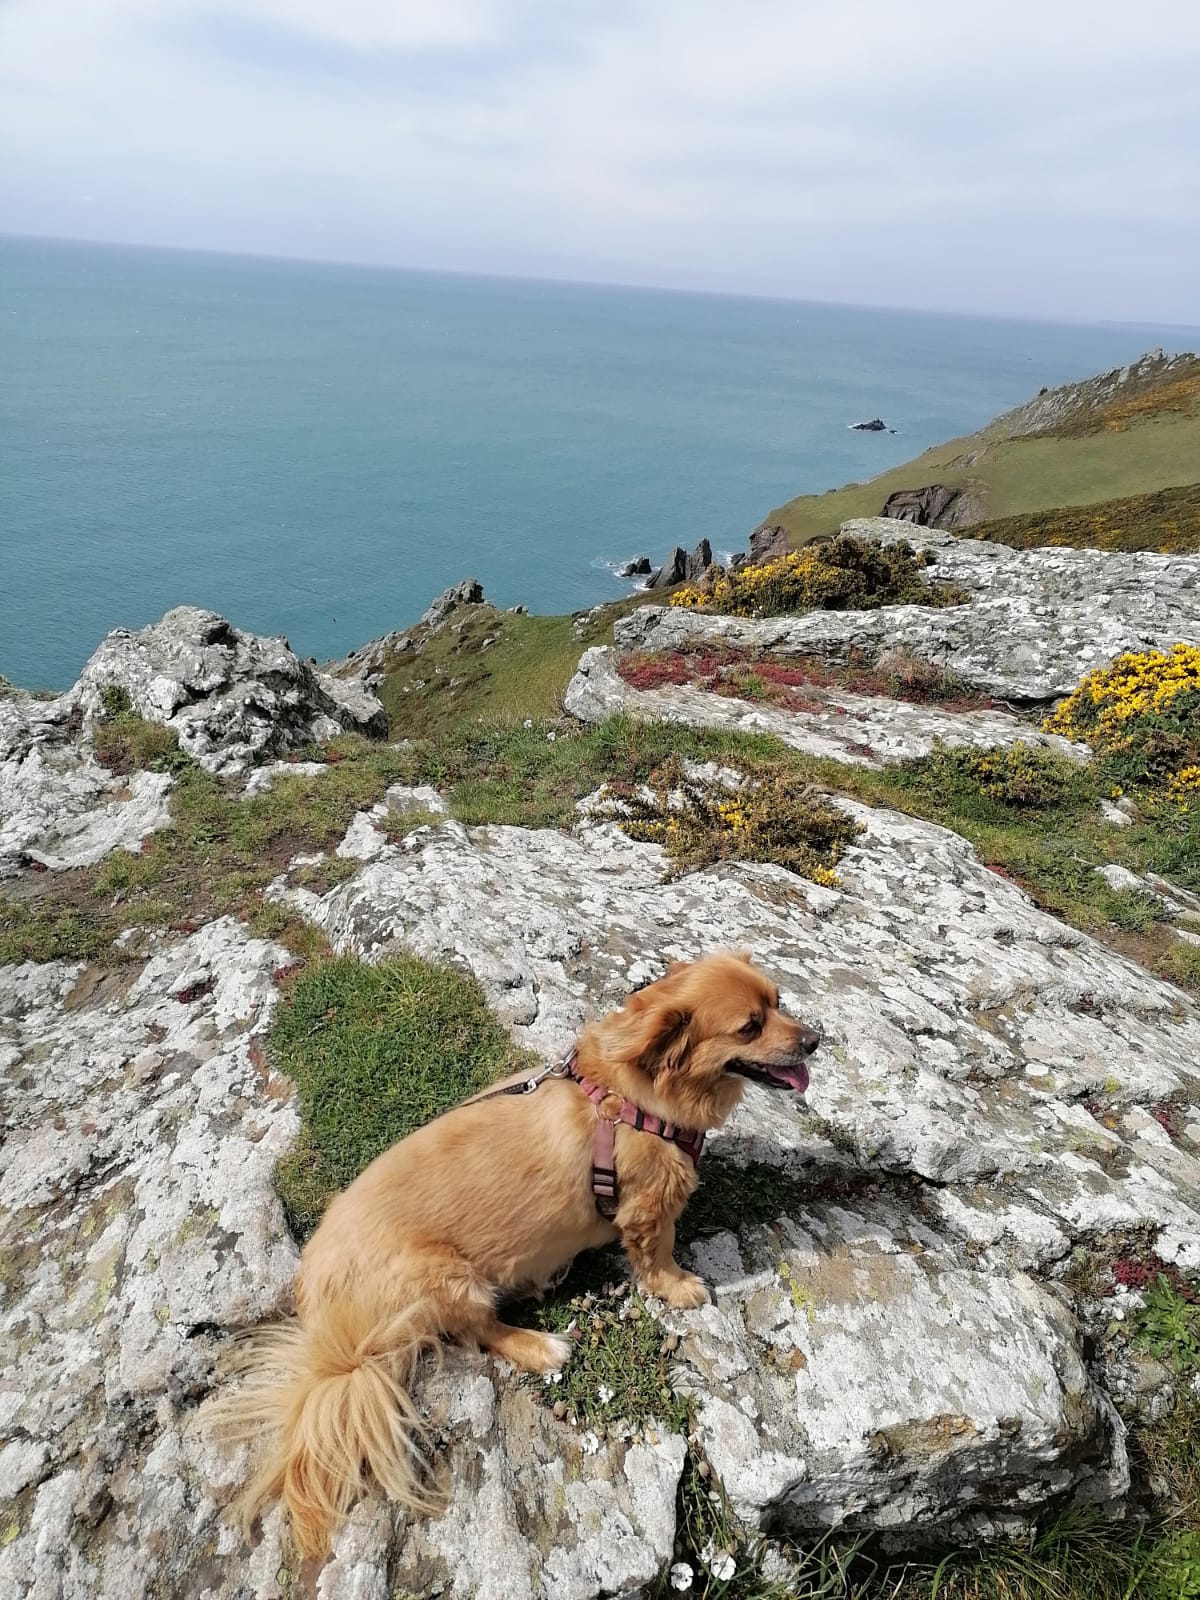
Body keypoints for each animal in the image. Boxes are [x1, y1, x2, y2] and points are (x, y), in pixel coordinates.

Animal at [212, 950, 818, 1558]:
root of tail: (325, 1323)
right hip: (445, 1277)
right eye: (750, 1027)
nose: (815, 1040)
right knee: (478, 1332)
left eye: (779, 1002)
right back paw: (541, 1345)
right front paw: (677, 1286)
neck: (632, 1096)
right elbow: (658, 1255)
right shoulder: (649, 1209)